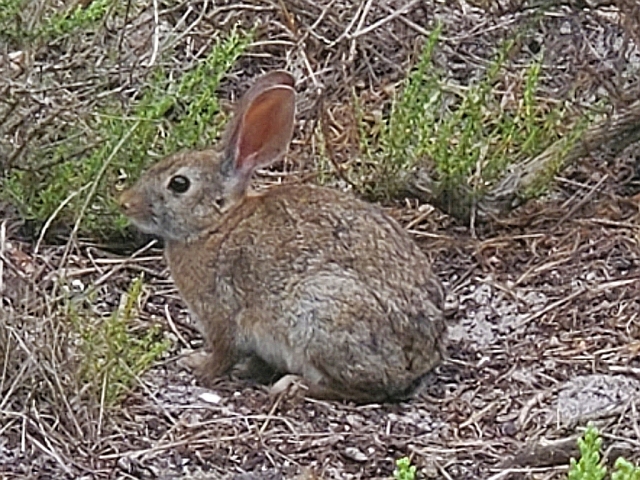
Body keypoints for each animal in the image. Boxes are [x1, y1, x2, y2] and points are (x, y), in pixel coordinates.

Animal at [119, 69, 444, 404]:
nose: (124, 202)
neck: (217, 225)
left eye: (179, 184)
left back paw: (293, 385)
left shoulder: (221, 316)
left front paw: (199, 366)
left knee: (363, 387)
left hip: (320, 313)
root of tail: (417, 361)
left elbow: (222, 354)